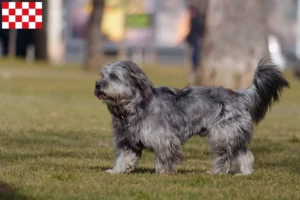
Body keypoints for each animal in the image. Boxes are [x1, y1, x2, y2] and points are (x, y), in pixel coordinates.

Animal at [95, 57, 290, 175]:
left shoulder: (165, 139)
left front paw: (162, 173)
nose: (98, 85)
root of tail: (238, 95)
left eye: (114, 76)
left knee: (226, 157)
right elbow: (124, 158)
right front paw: (116, 171)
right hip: (231, 134)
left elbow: (165, 157)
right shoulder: (127, 142)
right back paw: (245, 173)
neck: (134, 107)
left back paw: (217, 172)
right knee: (244, 154)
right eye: (102, 75)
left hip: (222, 135)